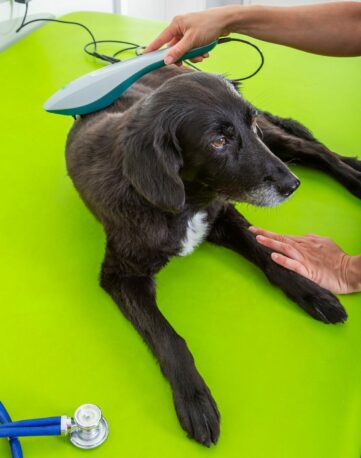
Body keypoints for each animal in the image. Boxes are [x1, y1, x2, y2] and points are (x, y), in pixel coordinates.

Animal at [66, 66, 360, 446]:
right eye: (217, 142)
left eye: (248, 124)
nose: (292, 185)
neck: (186, 201)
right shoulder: (121, 275)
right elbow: (168, 338)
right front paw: (194, 398)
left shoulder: (224, 215)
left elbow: (268, 254)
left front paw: (313, 292)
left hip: (275, 140)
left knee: (312, 150)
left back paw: (354, 176)